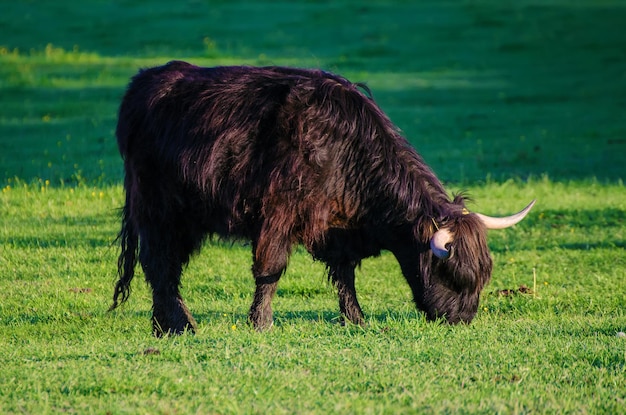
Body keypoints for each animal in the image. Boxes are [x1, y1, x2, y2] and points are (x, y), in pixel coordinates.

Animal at [109, 60, 528, 336]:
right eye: (451, 273)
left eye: (483, 276)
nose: (461, 319)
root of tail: (147, 80)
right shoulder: (278, 213)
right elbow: (270, 269)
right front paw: (261, 323)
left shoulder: (338, 229)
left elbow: (345, 275)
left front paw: (355, 319)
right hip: (157, 210)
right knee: (158, 263)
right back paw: (180, 325)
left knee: (166, 266)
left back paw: (163, 325)